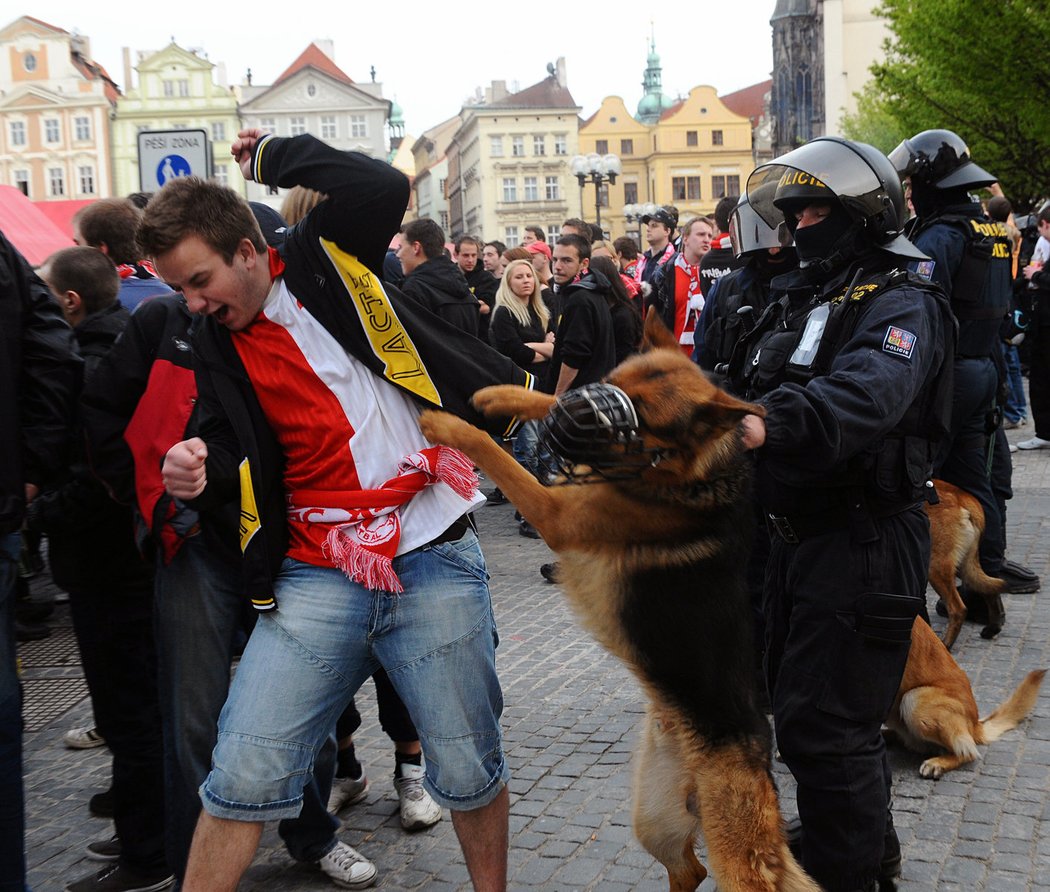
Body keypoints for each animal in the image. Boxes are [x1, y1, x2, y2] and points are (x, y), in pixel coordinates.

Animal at [419, 314, 818, 889]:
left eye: (642, 417)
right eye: (610, 388)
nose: (568, 419)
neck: (688, 475)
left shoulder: (555, 513)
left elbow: (495, 455)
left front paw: (449, 426)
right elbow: (546, 404)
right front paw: (505, 396)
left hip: (734, 858)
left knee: (711, 869)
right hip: (652, 817)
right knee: (689, 868)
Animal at [928, 480, 1007, 646]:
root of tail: (962, 498)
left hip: (935, 567)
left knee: (958, 609)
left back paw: (946, 645)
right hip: (963, 565)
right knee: (989, 589)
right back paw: (992, 629)